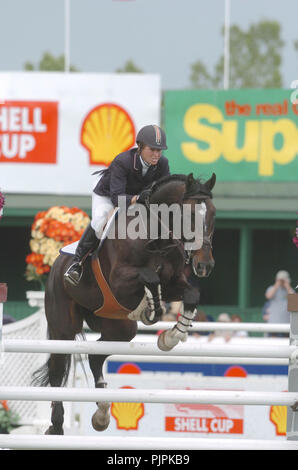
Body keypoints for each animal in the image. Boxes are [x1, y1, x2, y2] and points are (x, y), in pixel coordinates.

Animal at [31, 171, 215, 436]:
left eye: (213, 214)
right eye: (189, 215)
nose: (204, 265)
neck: (156, 238)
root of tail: (55, 266)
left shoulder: (174, 284)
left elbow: (191, 295)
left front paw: (171, 337)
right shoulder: (120, 281)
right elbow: (150, 277)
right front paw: (150, 310)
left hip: (120, 328)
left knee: (95, 356)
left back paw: (101, 413)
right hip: (63, 328)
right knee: (57, 369)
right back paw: (56, 425)